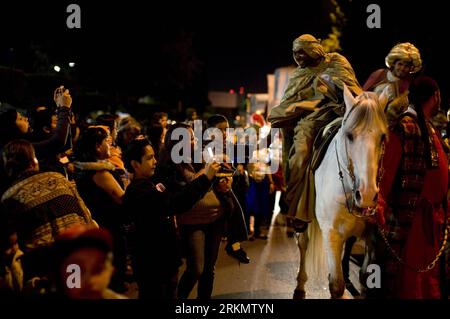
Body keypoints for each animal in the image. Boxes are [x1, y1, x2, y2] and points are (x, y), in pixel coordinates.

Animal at [296, 85, 386, 300]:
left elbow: (365, 279)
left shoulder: (372, 237)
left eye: (383, 137)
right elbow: (336, 285)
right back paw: (300, 287)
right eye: (349, 135)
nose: (367, 195)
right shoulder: (332, 234)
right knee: (303, 243)